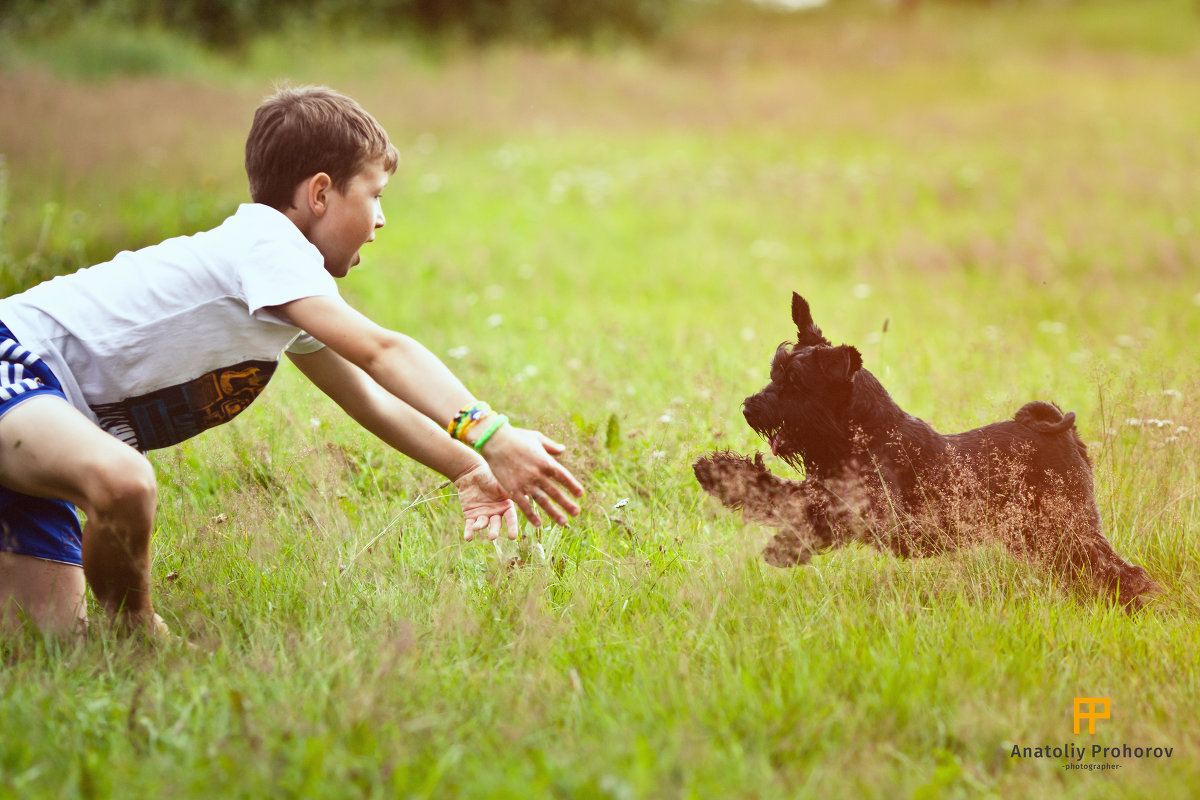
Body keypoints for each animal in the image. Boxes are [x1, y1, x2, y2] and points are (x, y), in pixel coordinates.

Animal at [700, 291, 1156, 609]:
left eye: (795, 382)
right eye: (775, 372)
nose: (751, 408)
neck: (868, 434)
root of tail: (1062, 432)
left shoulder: (878, 514)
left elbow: (817, 511)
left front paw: (783, 547)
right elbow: (783, 492)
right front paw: (719, 472)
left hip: (1068, 527)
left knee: (1119, 570)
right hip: (1044, 536)